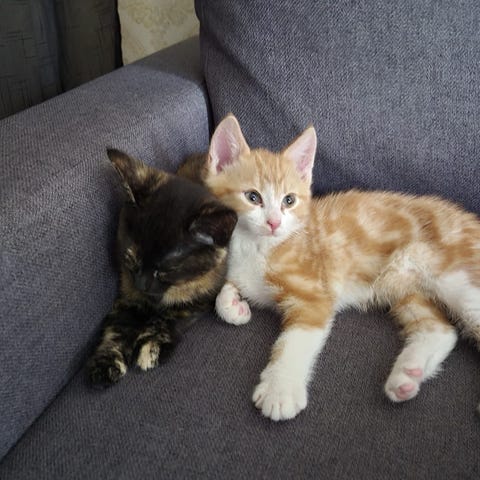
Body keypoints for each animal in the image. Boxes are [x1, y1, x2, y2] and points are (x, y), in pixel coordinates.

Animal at [87, 149, 237, 386]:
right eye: (131, 259)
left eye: (168, 269)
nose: (142, 285)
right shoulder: (127, 292)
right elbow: (118, 326)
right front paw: (105, 361)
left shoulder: (204, 295)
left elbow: (170, 319)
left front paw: (151, 346)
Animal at [204, 114, 480, 421]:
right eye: (253, 197)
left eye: (289, 200)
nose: (274, 223)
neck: (257, 246)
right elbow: (226, 290)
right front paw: (233, 306)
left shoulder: (313, 294)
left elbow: (294, 343)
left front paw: (280, 390)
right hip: (404, 284)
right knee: (440, 330)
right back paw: (407, 376)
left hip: (452, 275)